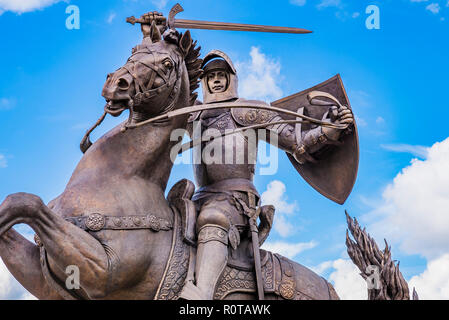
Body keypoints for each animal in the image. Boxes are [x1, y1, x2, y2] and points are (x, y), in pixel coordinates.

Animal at [0, 25, 201, 300]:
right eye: (135, 50)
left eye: (168, 64)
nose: (117, 82)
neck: (124, 177)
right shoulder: (42, 280)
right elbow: (14, 207)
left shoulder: (104, 270)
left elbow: (26, 203)